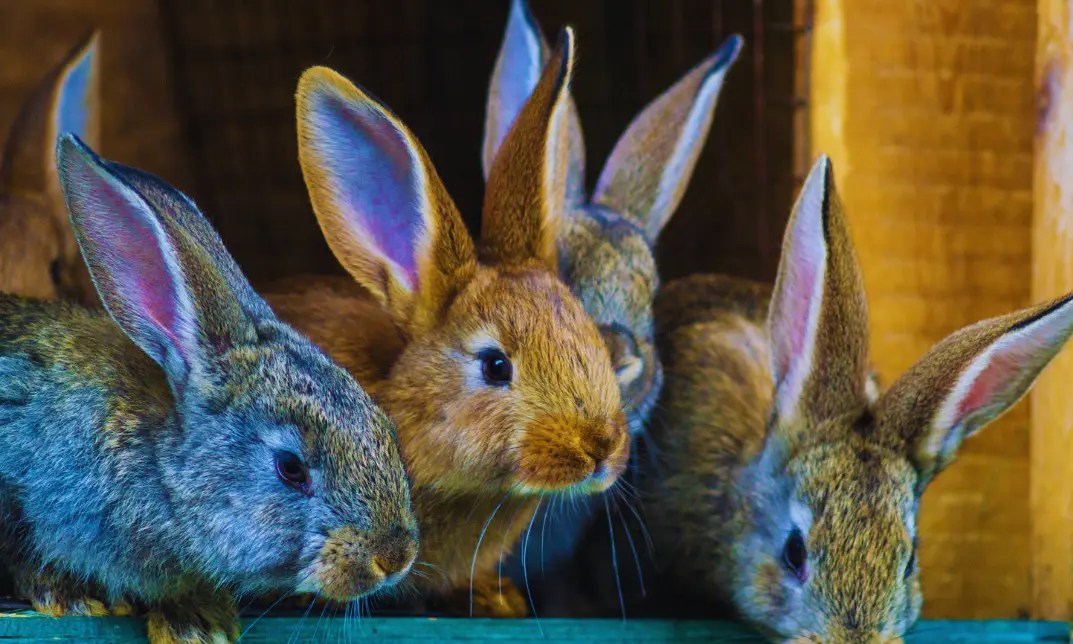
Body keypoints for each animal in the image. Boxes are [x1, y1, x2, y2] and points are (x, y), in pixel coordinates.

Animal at [0, 134, 418, 643]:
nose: (394, 558)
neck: (161, 473)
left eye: (387, 432)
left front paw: (199, 620)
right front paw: (72, 596)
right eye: (290, 468)